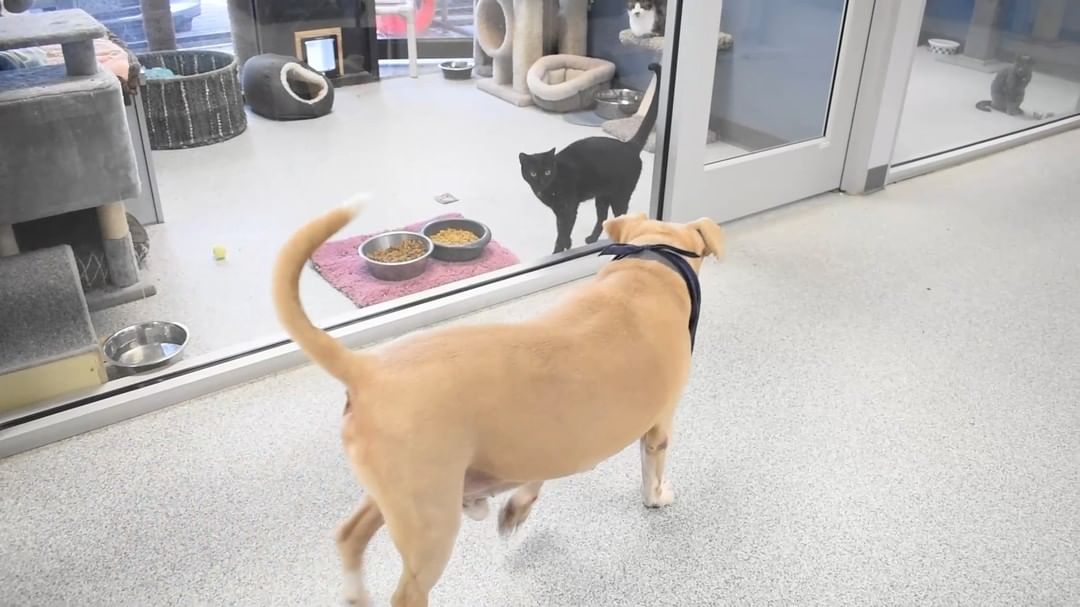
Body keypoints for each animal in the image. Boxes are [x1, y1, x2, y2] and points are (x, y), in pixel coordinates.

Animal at [274, 200, 721, 600]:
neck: (647, 268)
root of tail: (366, 369)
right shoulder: (657, 428)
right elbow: (652, 471)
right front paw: (657, 497)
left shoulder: (556, 440)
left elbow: (538, 475)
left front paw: (517, 507)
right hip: (431, 523)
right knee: (406, 590)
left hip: (395, 493)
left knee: (349, 536)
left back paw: (354, 590)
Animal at [520, 60, 660, 250]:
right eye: (533, 173)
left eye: (547, 171)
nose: (541, 180)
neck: (550, 186)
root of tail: (629, 145)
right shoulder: (559, 211)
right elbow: (563, 230)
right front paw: (568, 245)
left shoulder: (568, 207)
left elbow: (562, 232)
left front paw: (559, 250)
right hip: (602, 197)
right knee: (602, 218)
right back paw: (592, 239)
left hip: (620, 196)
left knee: (620, 216)